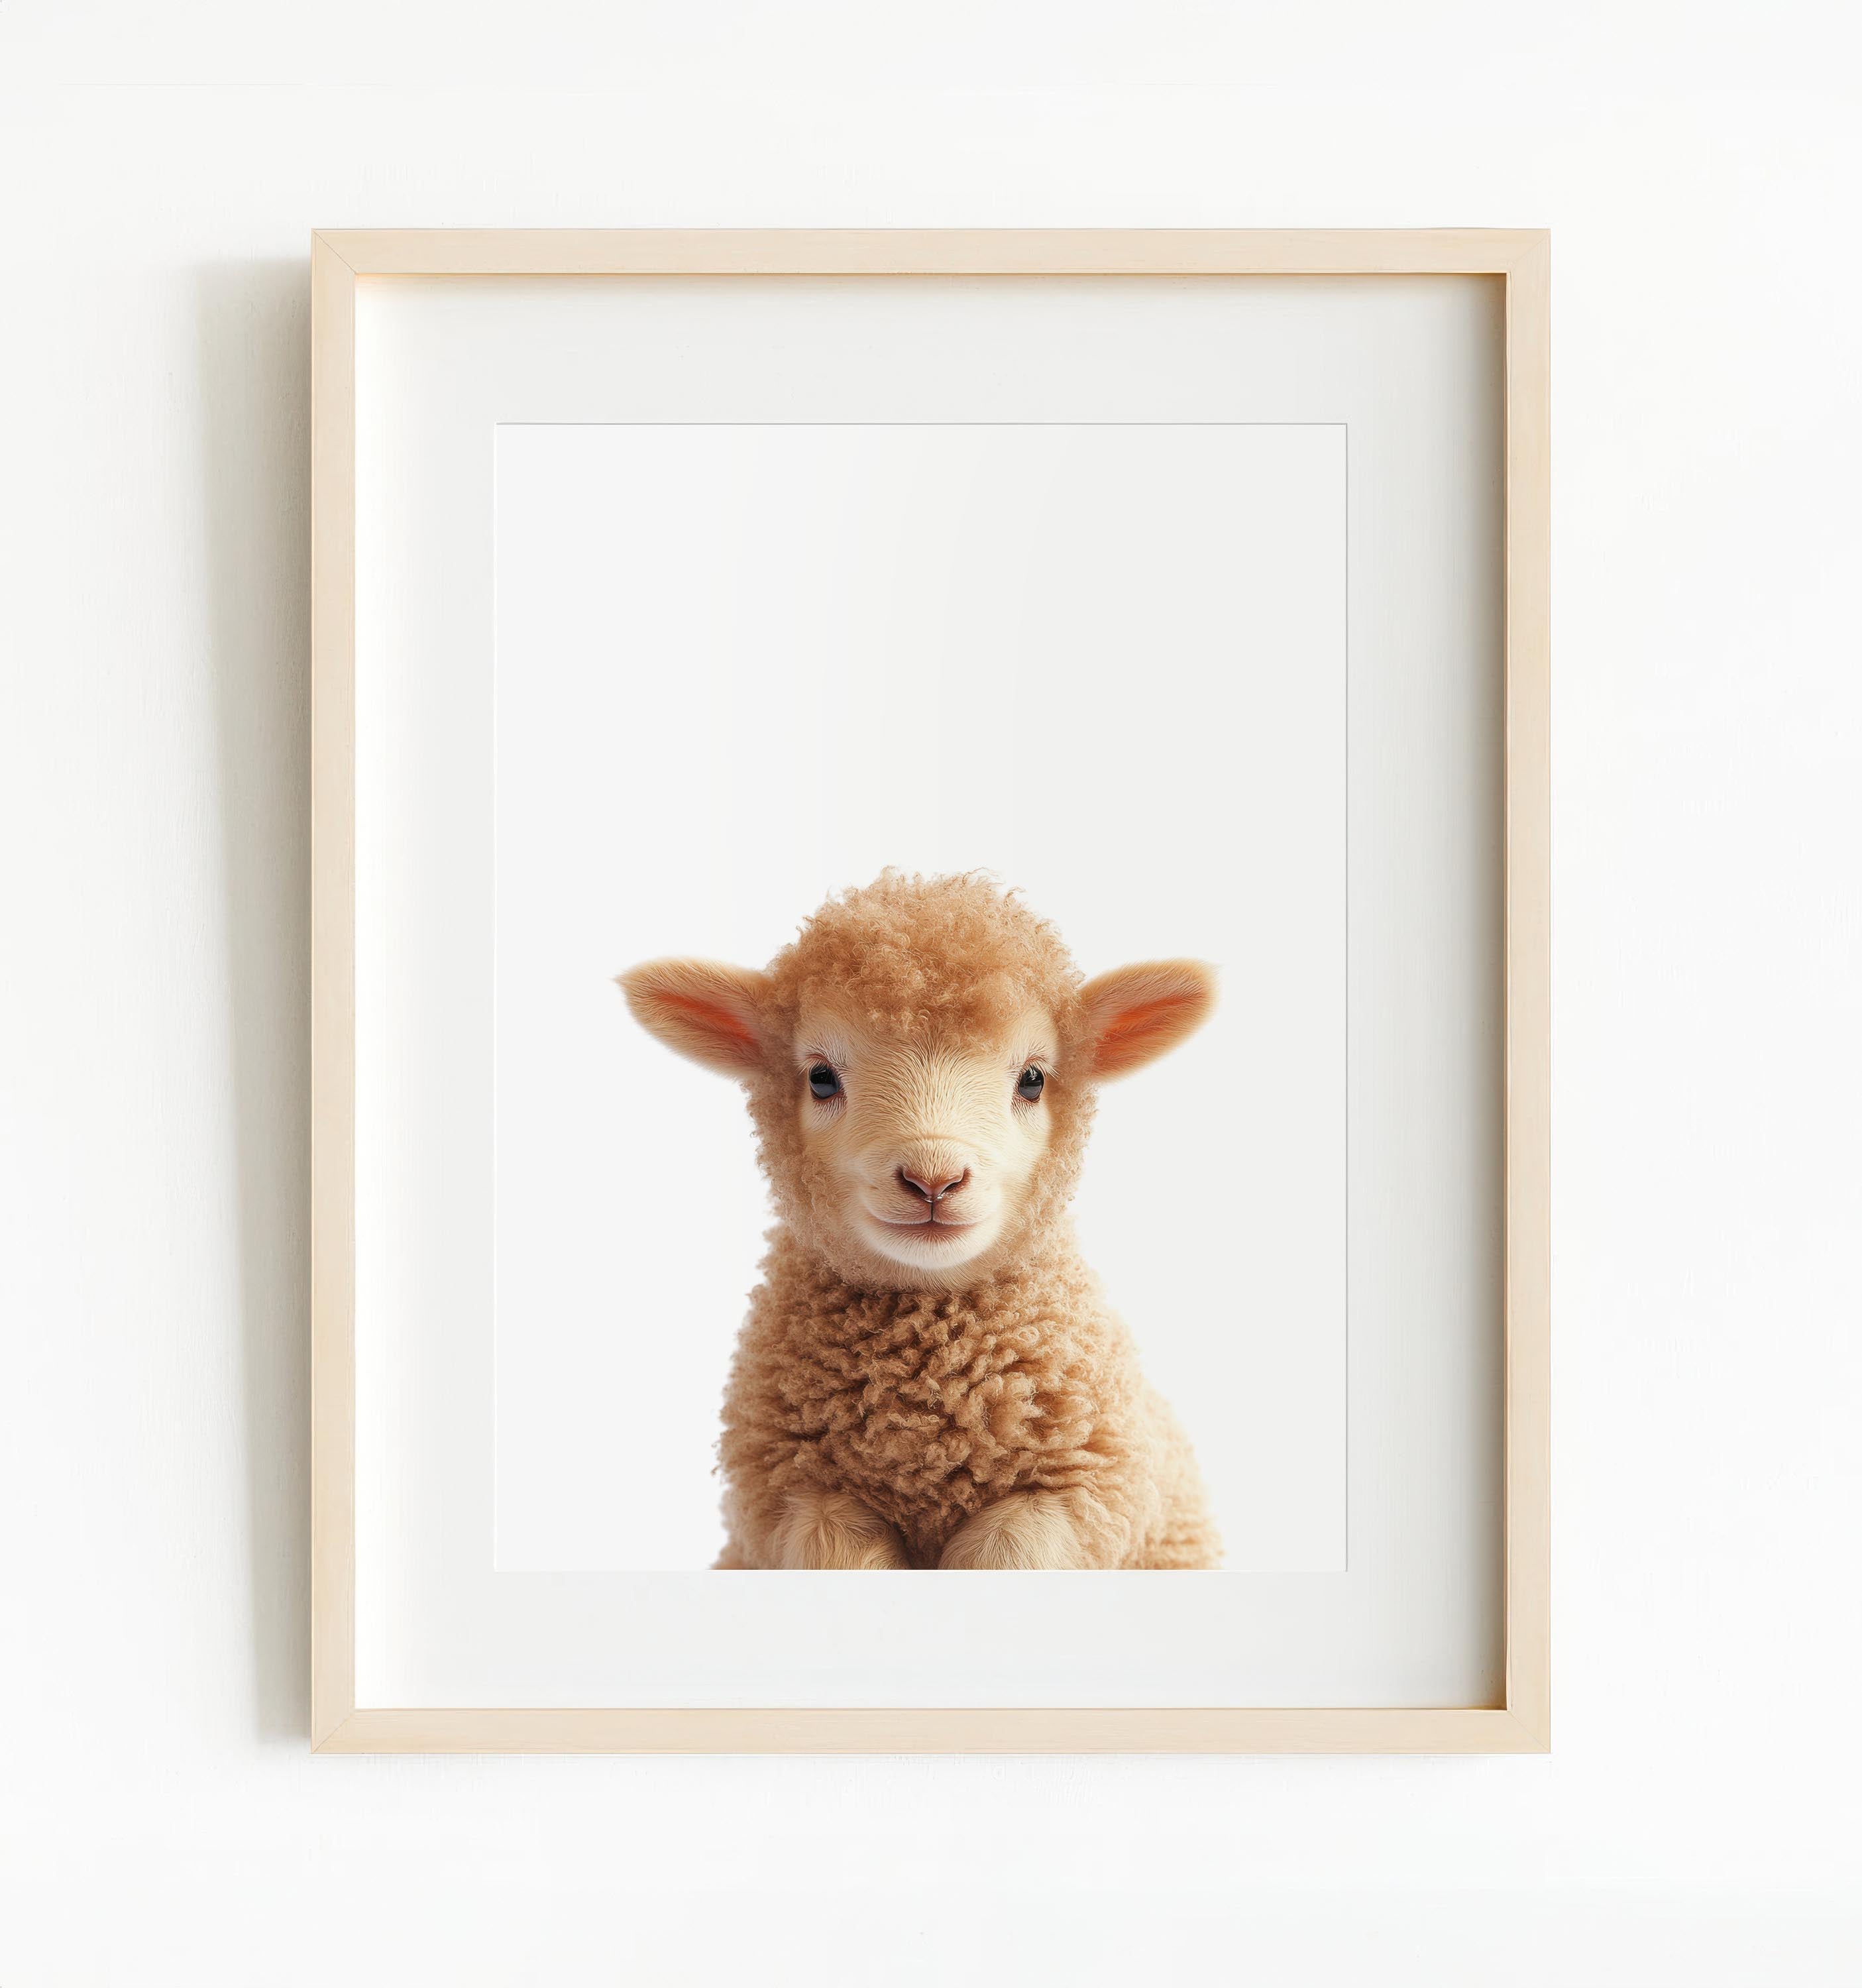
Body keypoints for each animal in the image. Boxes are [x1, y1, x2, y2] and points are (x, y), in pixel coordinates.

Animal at [618, 869, 1222, 1570]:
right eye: (820, 1077)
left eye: (1033, 1079)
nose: (934, 1179)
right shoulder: (790, 1493)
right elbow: (836, 1548)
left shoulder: (1089, 1488)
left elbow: (1010, 1550)